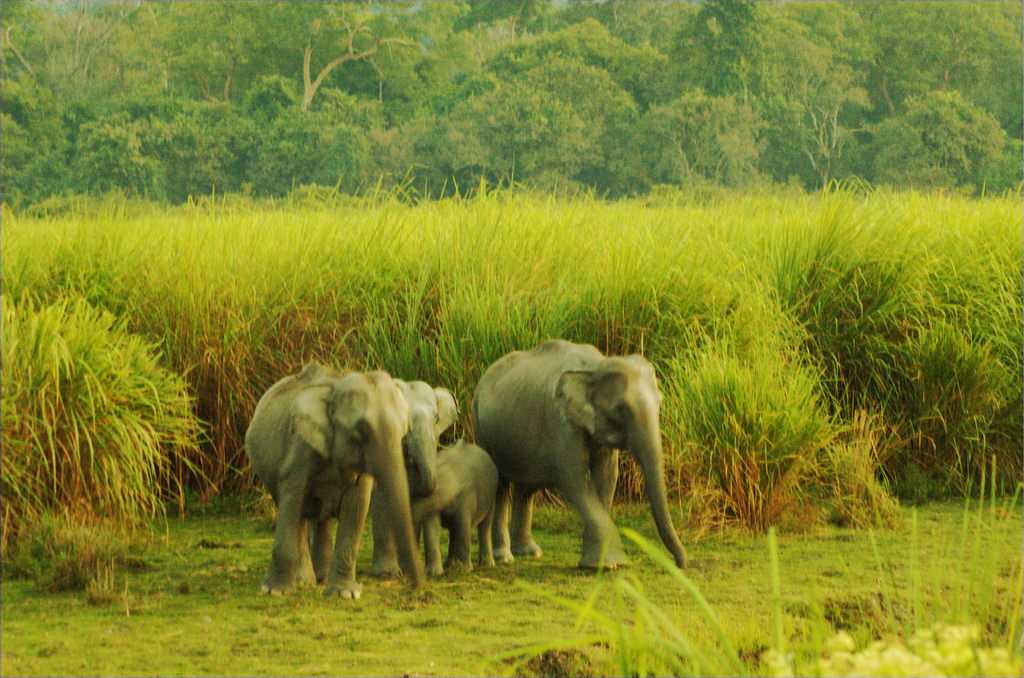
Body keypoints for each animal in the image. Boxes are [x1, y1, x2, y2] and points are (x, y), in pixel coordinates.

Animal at [243, 364, 423, 598]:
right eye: (360, 433)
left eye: (403, 433)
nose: (417, 586)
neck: (335, 387)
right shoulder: (300, 446)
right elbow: (292, 497)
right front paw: (275, 591)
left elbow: (357, 503)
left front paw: (345, 594)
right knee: (298, 513)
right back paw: (304, 581)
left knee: (319, 517)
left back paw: (321, 578)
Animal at [411, 440, 499, 577]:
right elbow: (432, 528)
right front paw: (433, 573)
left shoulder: (467, 496)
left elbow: (463, 527)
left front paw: (465, 570)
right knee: (453, 531)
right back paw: (450, 564)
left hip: (491, 497)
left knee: (484, 527)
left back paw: (487, 564)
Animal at [473, 337, 688, 569]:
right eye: (621, 409)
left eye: (660, 402)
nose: (681, 563)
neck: (595, 366)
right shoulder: (561, 423)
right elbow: (573, 479)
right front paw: (606, 565)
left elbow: (607, 478)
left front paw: (599, 561)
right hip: (482, 431)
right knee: (501, 486)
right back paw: (504, 558)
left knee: (526, 488)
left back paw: (530, 553)